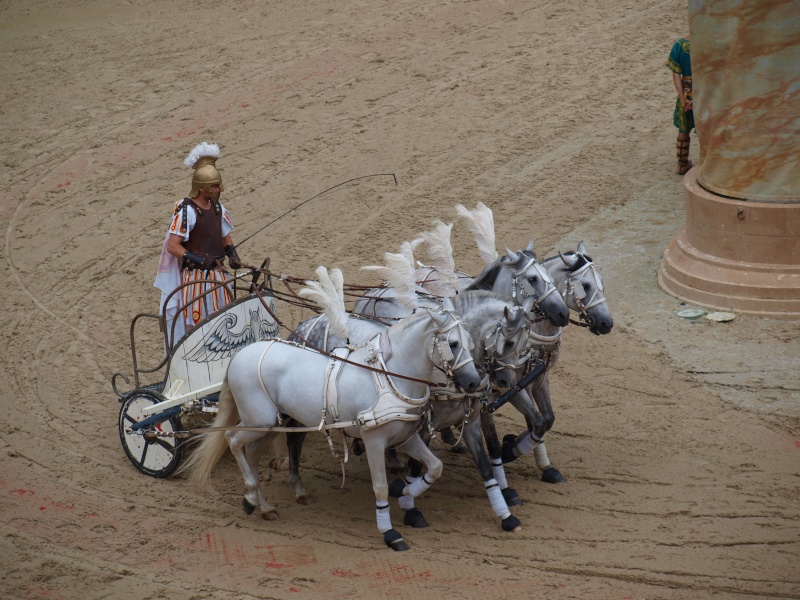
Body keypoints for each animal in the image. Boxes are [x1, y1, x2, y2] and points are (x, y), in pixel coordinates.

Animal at [180, 270, 482, 552]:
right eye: (453, 343)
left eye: (470, 340)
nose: (473, 382)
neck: (389, 379)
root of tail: (241, 354)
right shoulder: (374, 440)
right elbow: (381, 486)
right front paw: (390, 533)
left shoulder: (407, 436)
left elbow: (435, 467)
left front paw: (408, 493)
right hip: (258, 421)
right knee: (232, 439)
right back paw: (252, 496)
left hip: (273, 423)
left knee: (251, 452)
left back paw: (263, 506)